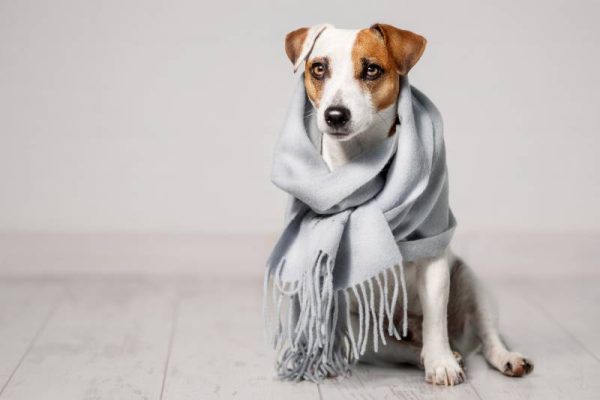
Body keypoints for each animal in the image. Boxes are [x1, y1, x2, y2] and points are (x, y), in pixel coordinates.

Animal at [286, 23, 536, 386]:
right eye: (319, 68)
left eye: (371, 69)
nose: (335, 115)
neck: (362, 165)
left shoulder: (433, 256)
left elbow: (435, 317)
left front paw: (441, 362)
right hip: (366, 329)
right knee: (397, 348)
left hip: (470, 284)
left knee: (487, 336)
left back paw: (501, 357)